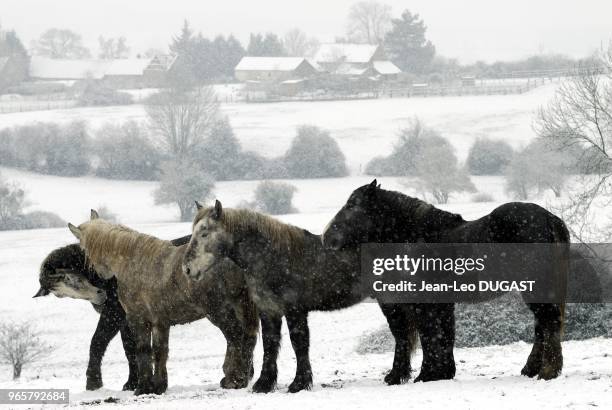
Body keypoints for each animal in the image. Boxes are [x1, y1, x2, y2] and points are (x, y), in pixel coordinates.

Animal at [34, 234, 191, 390]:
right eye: (59, 294)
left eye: (70, 278)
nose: (100, 296)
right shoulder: (125, 321)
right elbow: (129, 348)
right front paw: (132, 382)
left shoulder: (114, 313)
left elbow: (98, 340)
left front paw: (93, 381)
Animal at [67, 211, 258, 394]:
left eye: (83, 249)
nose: (101, 277)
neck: (133, 262)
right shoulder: (160, 322)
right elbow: (160, 351)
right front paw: (158, 386)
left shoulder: (138, 319)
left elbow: (143, 350)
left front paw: (142, 388)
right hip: (242, 305)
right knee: (248, 337)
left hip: (219, 311)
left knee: (236, 336)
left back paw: (234, 379)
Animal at [322, 181, 572, 382]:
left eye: (352, 205)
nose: (327, 238)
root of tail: (550, 219)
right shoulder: (440, 304)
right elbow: (442, 335)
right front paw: (441, 373)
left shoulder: (425, 304)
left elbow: (428, 336)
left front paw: (425, 375)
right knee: (542, 325)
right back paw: (532, 369)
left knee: (548, 323)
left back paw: (547, 371)